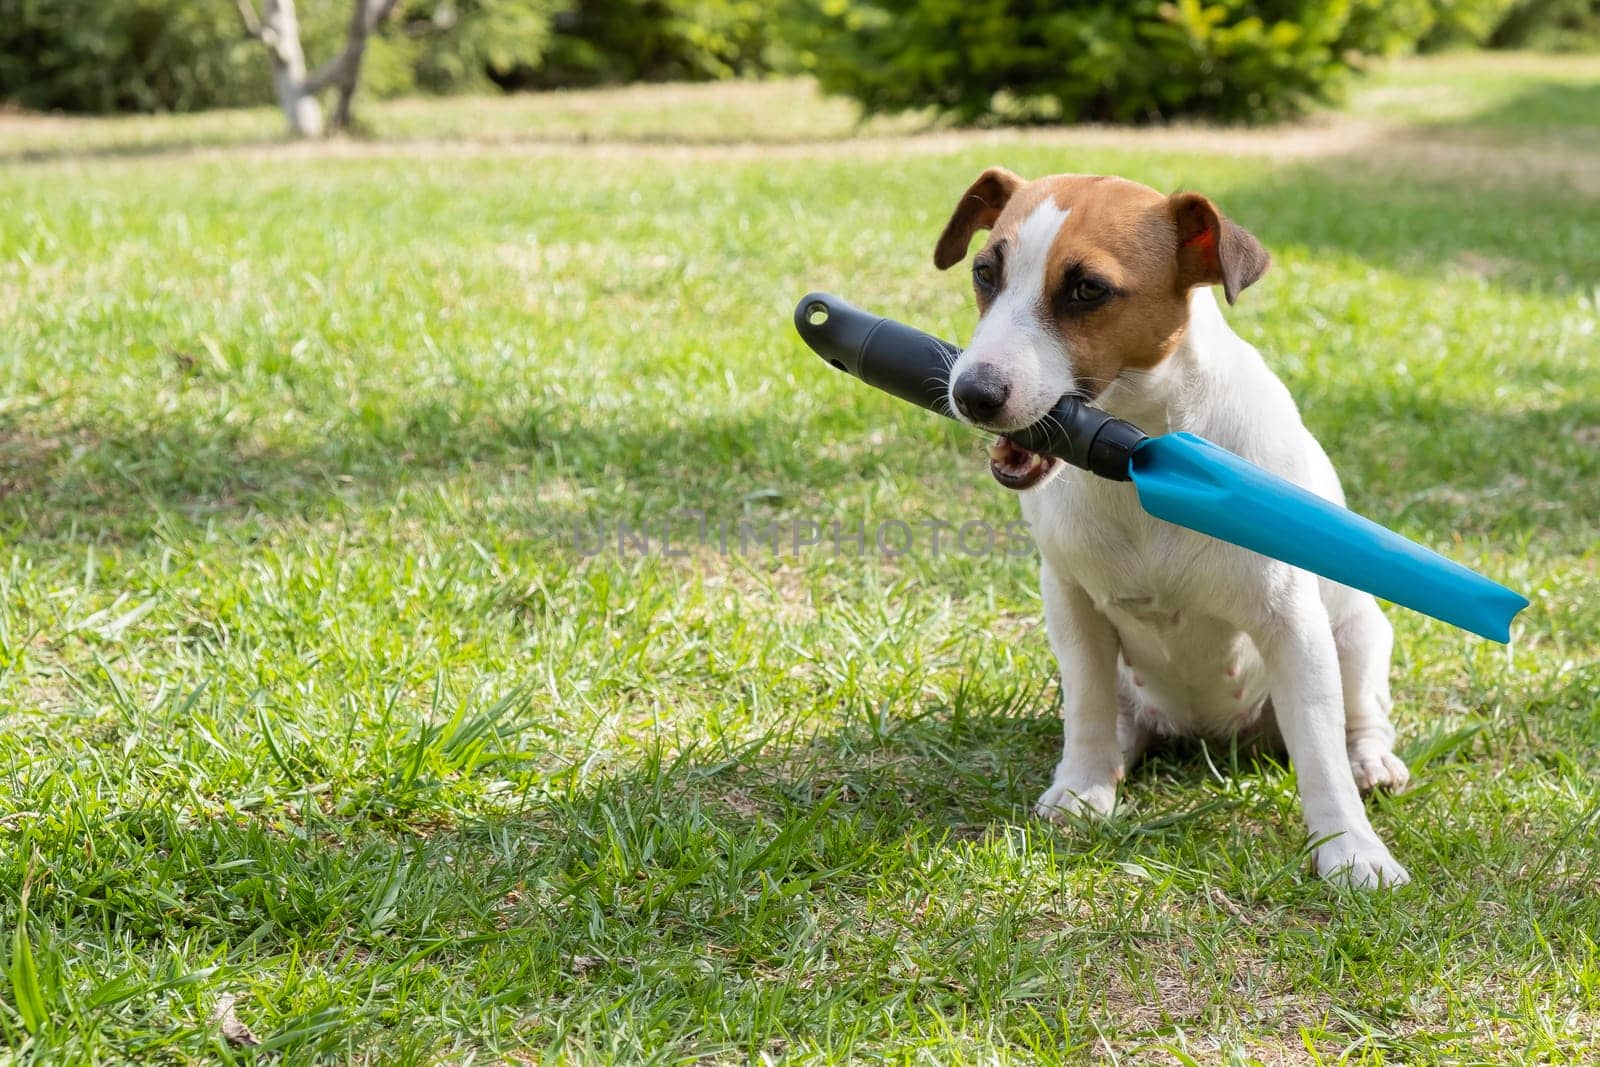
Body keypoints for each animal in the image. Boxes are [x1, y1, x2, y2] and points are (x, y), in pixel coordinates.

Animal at [934, 168, 1414, 883]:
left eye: (1087, 289)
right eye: (984, 272)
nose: (971, 393)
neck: (1136, 458)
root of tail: (1212, 736)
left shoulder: (1293, 625)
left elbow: (1321, 757)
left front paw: (1352, 850)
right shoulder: (1071, 605)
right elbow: (1087, 707)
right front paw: (1081, 786)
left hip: (1356, 637)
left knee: (1355, 719)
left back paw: (1370, 759)